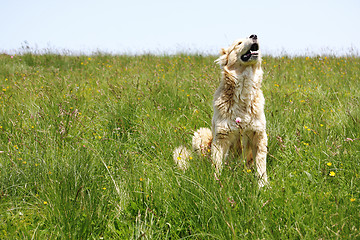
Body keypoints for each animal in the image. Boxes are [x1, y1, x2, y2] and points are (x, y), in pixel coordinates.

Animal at [173, 33, 268, 188]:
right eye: (239, 43)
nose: (254, 35)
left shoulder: (258, 135)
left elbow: (261, 165)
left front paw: (263, 186)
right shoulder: (221, 137)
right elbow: (217, 164)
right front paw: (216, 182)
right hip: (201, 134)